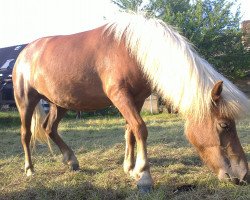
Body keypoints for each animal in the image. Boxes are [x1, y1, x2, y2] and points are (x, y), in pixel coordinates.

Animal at [12, 12, 249, 191]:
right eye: (224, 125)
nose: (244, 175)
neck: (133, 51)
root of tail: (25, 52)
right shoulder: (120, 96)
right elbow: (140, 129)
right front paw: (144, 176)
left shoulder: (137, 98)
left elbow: (130, 131)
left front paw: (130, 168)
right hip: (26, 101)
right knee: (25, 134)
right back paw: (30, 169)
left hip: (60, 103)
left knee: (49, 128)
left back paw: (71, 160)